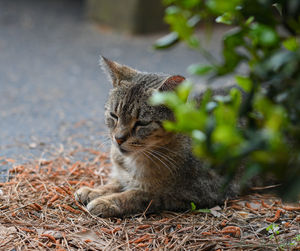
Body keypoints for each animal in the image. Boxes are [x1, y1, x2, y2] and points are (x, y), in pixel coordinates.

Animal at [75, 57, 239, 218]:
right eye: (114, 115)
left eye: (142, 123)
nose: (119, 138)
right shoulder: (124, 175)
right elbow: (116, 183)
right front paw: (93, 191)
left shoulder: (193, 192)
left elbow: (136, 195)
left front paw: (107, 202)